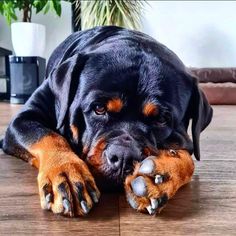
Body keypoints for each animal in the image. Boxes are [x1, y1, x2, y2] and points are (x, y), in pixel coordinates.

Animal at [0, 25, 214, 216]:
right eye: (99, 108)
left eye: (161, 119)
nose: (124, 156)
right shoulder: (24, 118)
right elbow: (48, 137)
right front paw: (66, 172)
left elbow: (189, 160)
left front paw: (160, 176)